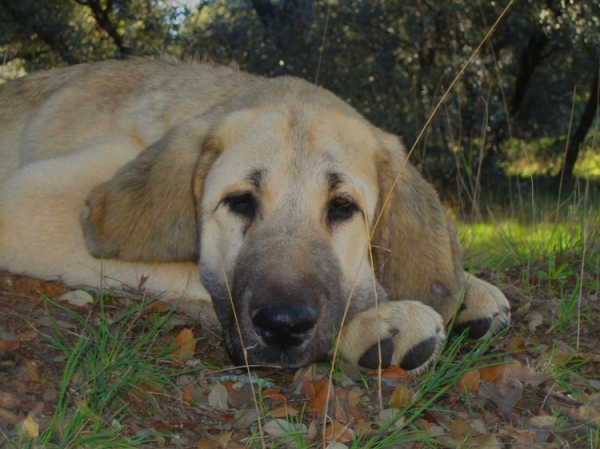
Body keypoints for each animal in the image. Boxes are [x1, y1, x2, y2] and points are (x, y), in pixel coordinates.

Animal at [0, 59, 510, 372]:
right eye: (240, 201)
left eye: (342, 207)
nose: (284, 326)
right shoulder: (29, 205)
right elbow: (188, 271)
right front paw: (373, 321)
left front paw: (465, 288)